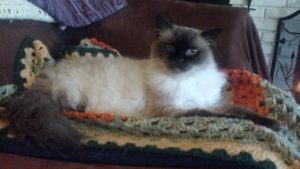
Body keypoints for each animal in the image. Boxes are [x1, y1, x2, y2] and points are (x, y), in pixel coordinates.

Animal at [4, 15, 282, 152]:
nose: (178, 59)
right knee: (64, 104)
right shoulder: (174, 110)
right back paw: (79, 109)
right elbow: (218, 115)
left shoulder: (215, 102)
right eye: (169, 48)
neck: (187, 80)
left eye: (192, 52)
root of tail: (47, 73)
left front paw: (276, 126)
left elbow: (244, 112)